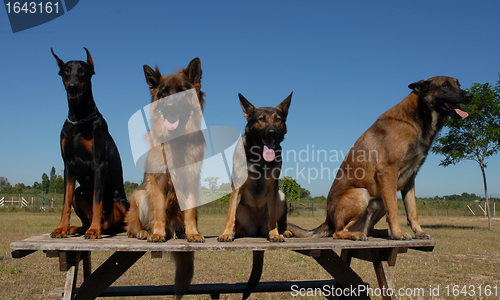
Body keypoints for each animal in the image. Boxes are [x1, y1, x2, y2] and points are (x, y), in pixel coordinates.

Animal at [126, 57, 206, 296]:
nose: (170, 107)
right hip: (139, 195)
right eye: (164, 93)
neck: (176, 140)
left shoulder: (191, 180)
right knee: (134, 224)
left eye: (180, 92)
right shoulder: (157, 181)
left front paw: (192, 233)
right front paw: (157, 234)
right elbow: (159, 210)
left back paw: (180, 232)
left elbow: (190, 212)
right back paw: (144, 232)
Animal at [290, 76, 472, 240]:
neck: (415, 120)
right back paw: (359, 235)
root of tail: (328, 220)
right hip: (362, 193)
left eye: (458, 84)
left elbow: (412, 210)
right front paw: (399, 233)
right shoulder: (388, 172)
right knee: (338, 232)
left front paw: (418, 232)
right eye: (445, 86)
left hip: (379, 201)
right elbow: (395, 210)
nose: (470, 96)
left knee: (366, 228)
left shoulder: (410, 179)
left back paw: (379, 233)